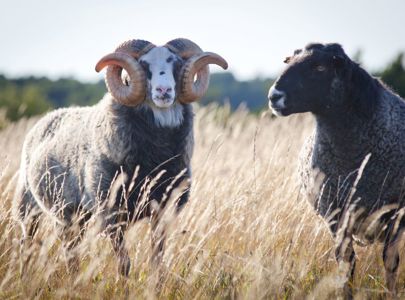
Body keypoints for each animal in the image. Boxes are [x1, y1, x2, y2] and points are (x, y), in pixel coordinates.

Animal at [14, 38, 227, 276]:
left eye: (178, 64)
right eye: (144, 65)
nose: (164, 90)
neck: (155, 159)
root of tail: (48, 117)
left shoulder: (162, 211)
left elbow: (157, 260)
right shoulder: (111, 213)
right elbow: (124, 264)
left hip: (75, 215)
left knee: (70, 250)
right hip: (32, 206)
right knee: (28, 244)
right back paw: (25, 275)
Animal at [268, 42, 404, 298]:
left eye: (320, 67)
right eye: (288, 62)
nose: (274, 96)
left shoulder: (396, 212)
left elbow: (390, 261)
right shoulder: (336, 214)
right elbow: (346, 264)